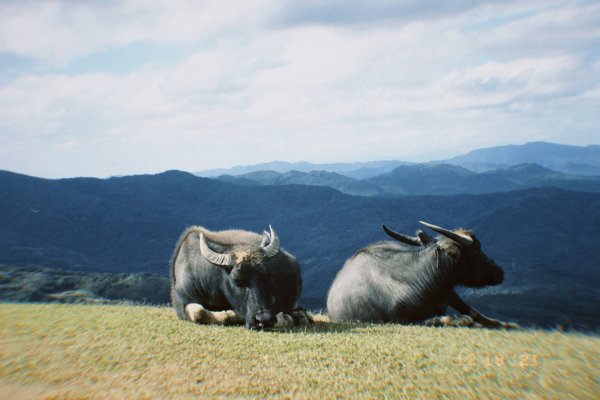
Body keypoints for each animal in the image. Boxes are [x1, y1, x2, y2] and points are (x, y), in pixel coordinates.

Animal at [326, 222, 516, 328]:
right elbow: (448, 318)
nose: (500, 272)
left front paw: (506, 323)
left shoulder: (449, 293)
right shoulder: (402, 320)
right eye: (476, 249)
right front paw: (461, 320)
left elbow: (474, 312)